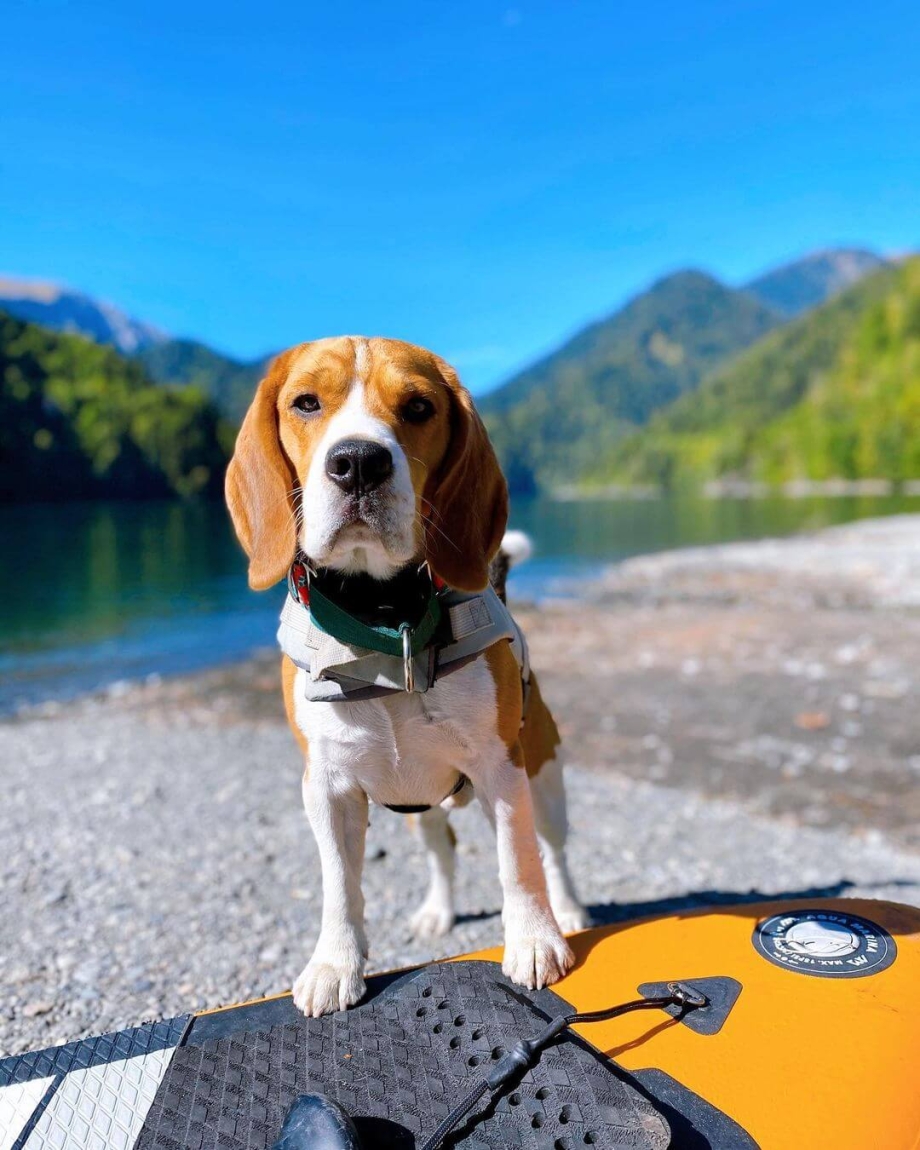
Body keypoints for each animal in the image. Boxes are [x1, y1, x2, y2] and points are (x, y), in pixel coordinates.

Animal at [224, 335, 586, 1016]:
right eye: (305, 403)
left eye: (419, 407)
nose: (357, 462)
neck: (386, 622)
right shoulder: (328, 787)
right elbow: (340, 885)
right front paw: (334, 964)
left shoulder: (503, 769)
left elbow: (518, 862)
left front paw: (533, 939)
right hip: (424, 807)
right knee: (444, 855)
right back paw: (438, 912)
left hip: (545, 776)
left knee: (552, 849)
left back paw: (571, 910)